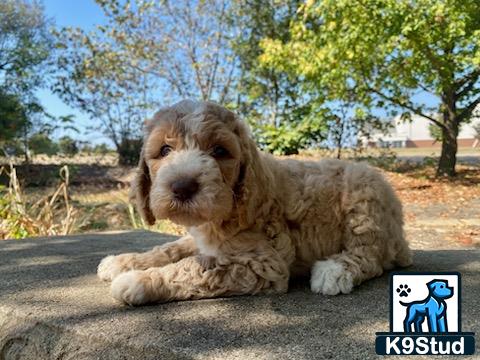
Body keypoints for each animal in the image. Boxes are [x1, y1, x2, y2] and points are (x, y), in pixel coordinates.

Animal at [97, 100, 412, 306]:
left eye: (219, 151)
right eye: (164, 150)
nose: (182, 186)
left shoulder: (264, 264)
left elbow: (194, 268)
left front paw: (138, 281)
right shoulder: (204, 238)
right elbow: (170, 248)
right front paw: (123, 262)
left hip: (364, 202)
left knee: (370, 255)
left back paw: (334, 271)